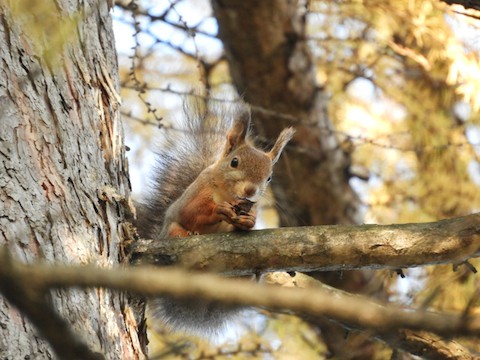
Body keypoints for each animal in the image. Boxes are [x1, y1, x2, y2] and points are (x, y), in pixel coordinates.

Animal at [133, 100, 294, 334]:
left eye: (269, 177)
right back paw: (185, 236)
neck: (228, 195)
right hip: (170, 233)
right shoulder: (194, 195)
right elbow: (191, 213)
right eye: (234, 162)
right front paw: (219, 210)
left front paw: (248, 222)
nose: (250, 191)